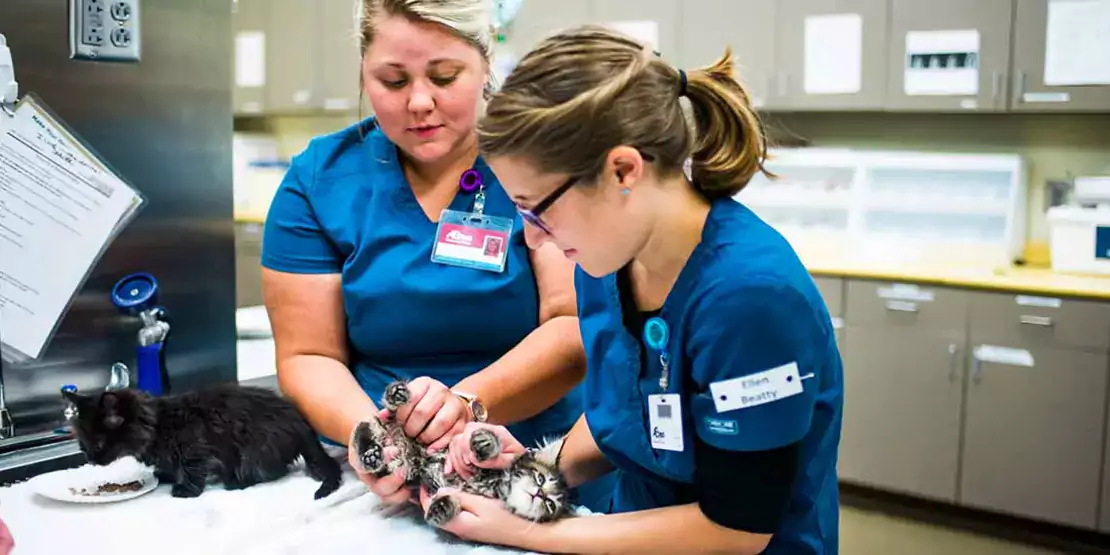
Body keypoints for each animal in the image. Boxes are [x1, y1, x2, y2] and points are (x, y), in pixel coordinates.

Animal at [62, 386, 339, 499]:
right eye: (83, 446)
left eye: (98, 444)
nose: (91, 460)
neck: (158, 424)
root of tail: (301, 422)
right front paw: (165, 475)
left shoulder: (194, 448)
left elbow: (192, 470)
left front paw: (185, 490)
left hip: (256, 449)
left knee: (269, 470)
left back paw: (236, 482)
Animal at [348, 379, 572, 526]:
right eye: (540, 478)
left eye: (550, 505)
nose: (540, 494)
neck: (497, 485)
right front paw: (487, 442)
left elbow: (450, 502)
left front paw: (442, 507)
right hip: (396, 422)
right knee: (373, 421)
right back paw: (395, 397)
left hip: (401, 469)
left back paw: (373, 456)